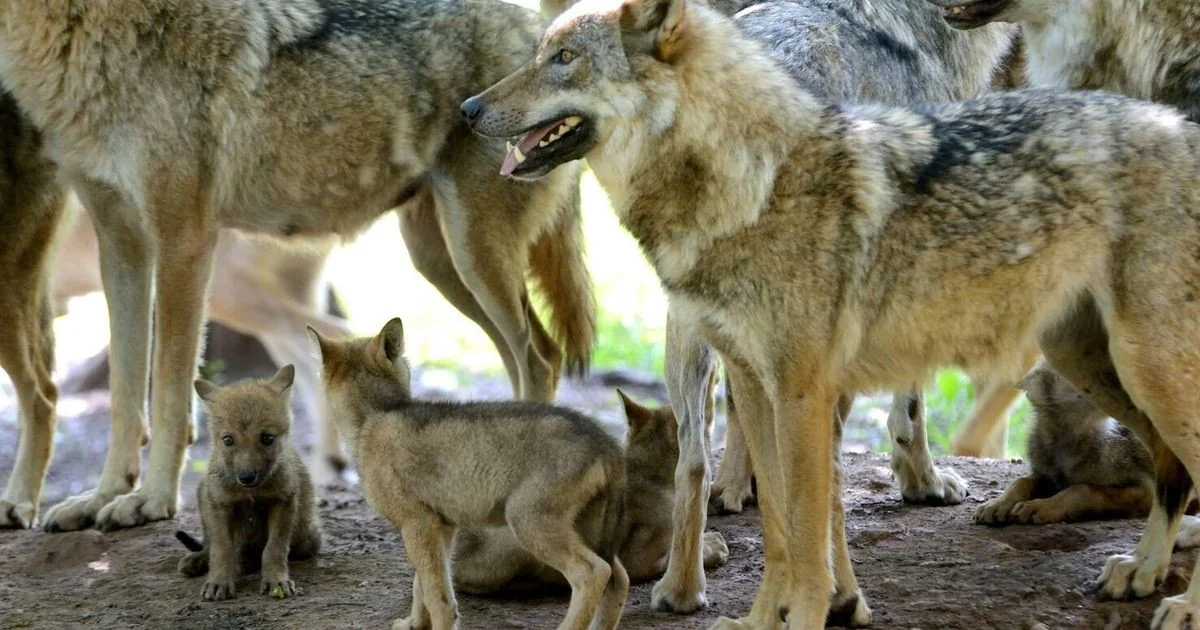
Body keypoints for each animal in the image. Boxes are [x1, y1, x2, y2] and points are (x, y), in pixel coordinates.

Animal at [0, 0, 593, 534]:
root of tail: (541, 29)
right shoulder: (120, 242)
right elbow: (126, 395)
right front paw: (101, 497)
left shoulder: (182, 239)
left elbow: (168, 392)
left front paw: (150, 501)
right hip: (441, 265)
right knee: (522, 357)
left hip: (471, 256)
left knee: (539, 358)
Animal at [174, 365, 322, 601]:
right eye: (228, 440)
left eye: (267, 437)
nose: (246, 477)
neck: (252, 494)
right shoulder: (219, 505)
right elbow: (221, 548)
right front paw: (218, 581)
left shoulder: (283, 502)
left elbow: (274, 548)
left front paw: (276, 580)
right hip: (203, 493)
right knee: (209, 544)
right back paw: (199, 559)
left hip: (308, 538)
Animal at [309, 319, 628, 630]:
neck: (375, 415)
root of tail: (606, 441)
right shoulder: (442, 527)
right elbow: (421, 587)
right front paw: (414, 624)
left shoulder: (417, 524)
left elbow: (437, 598)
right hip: (589, 532)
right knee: (619, 579)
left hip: (527, 522)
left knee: (593, 573)